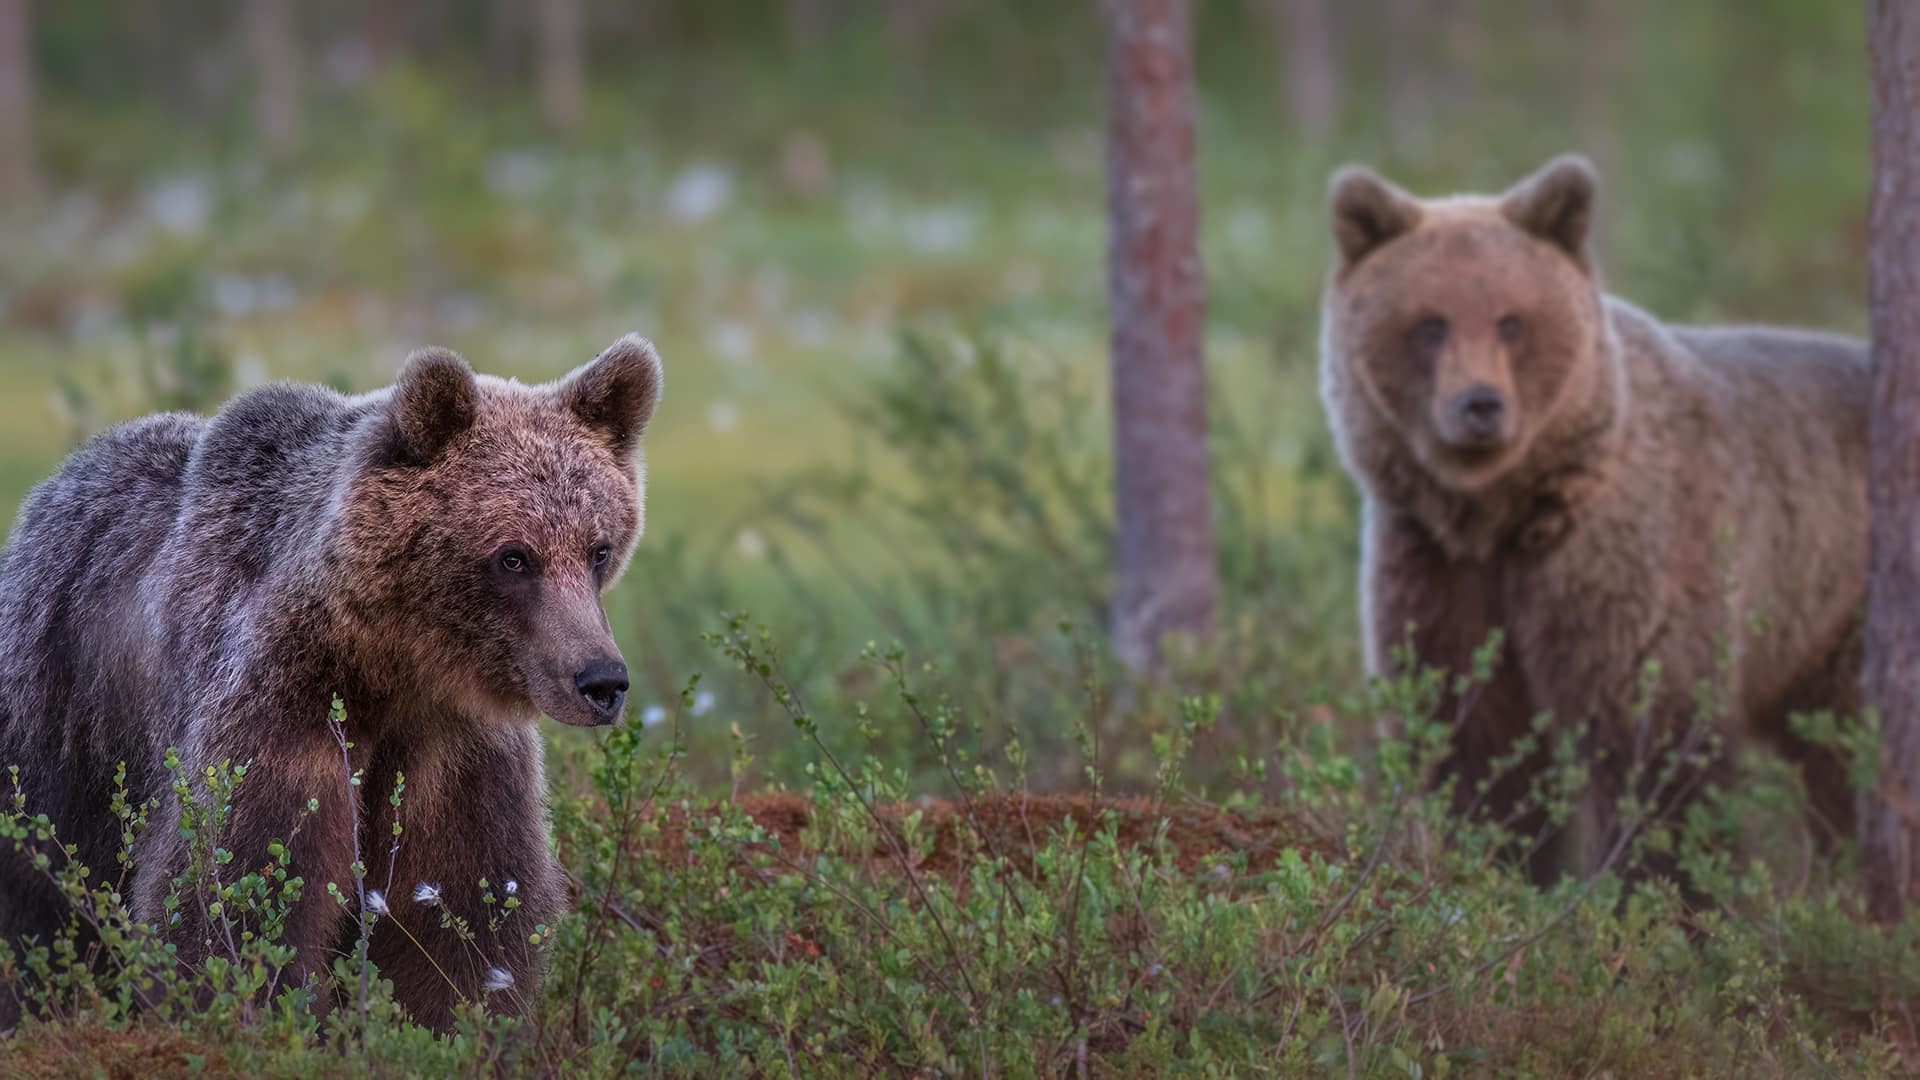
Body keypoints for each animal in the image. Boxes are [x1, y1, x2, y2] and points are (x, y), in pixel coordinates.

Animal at [0, 333, 663, 1033]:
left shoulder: (450, 747)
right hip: (58, 718)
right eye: (514, 556)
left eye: (597, 548)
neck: (384, 664)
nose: (602, 680)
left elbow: (463, 912)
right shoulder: (279, 715)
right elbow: (238, 896)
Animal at [1317, 154, 1868, 882]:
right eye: (1431, 322)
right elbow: (1472, 737)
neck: (1505, 514)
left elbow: (1647, 744)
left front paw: (1664, 890)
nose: (1480, 404)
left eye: (1511, 320)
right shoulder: (1435, 562)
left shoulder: (1622, 559)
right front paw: (1494, 862)